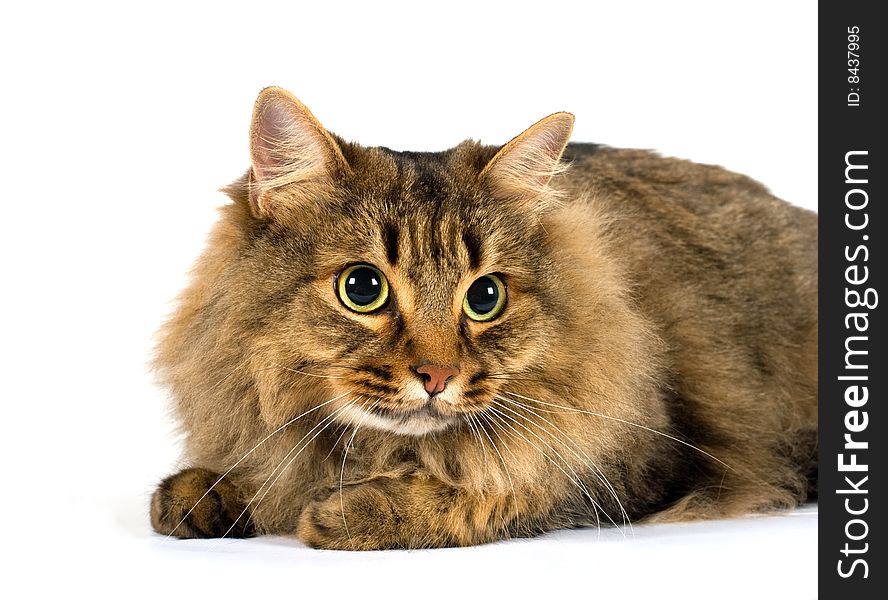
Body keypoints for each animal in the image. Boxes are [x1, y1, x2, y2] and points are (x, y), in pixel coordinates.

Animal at [151, 86, 820, 552]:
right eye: (362, 288)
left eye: (486, 297)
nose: (437, 377)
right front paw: (209, 491)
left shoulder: (641, 461)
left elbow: (506, 487)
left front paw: (349, 512)